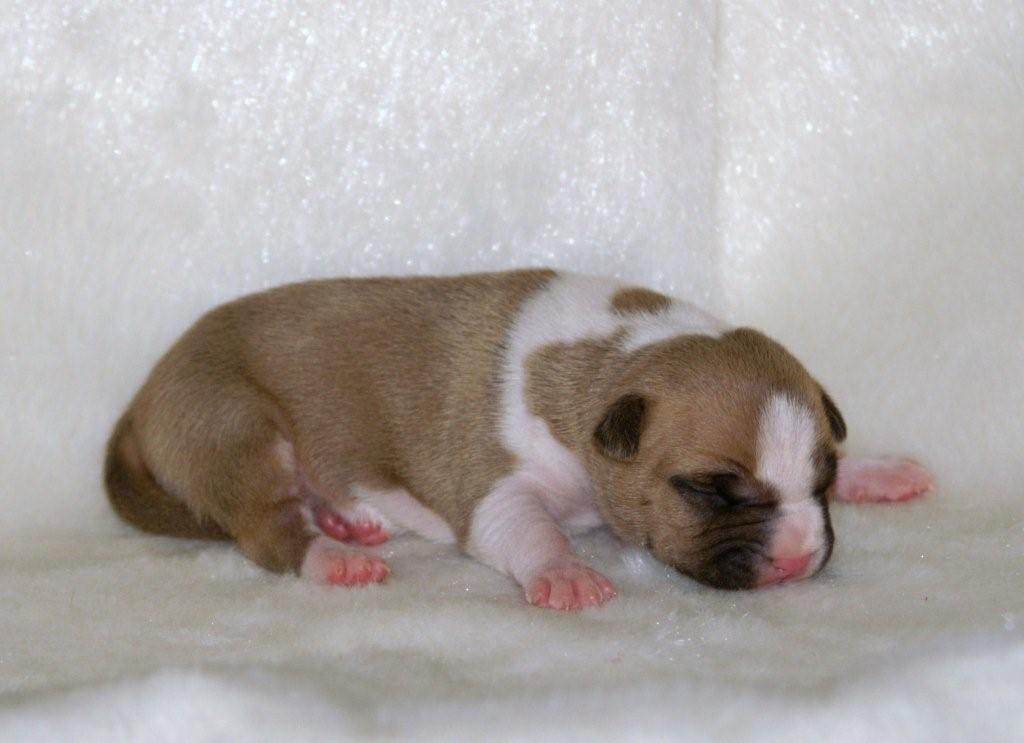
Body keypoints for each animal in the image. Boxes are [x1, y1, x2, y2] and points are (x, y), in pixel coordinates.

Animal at [105, 270, 931, 610]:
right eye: (708, 490)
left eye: (820, 482)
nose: (795, 560)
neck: (614, 360)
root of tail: (142, 395)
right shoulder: (494, 483)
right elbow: (522, 524)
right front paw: (563, 569)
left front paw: (878, 469)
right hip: (237, 426)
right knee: (264, 528)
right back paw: (331, 555)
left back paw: (349, 518)